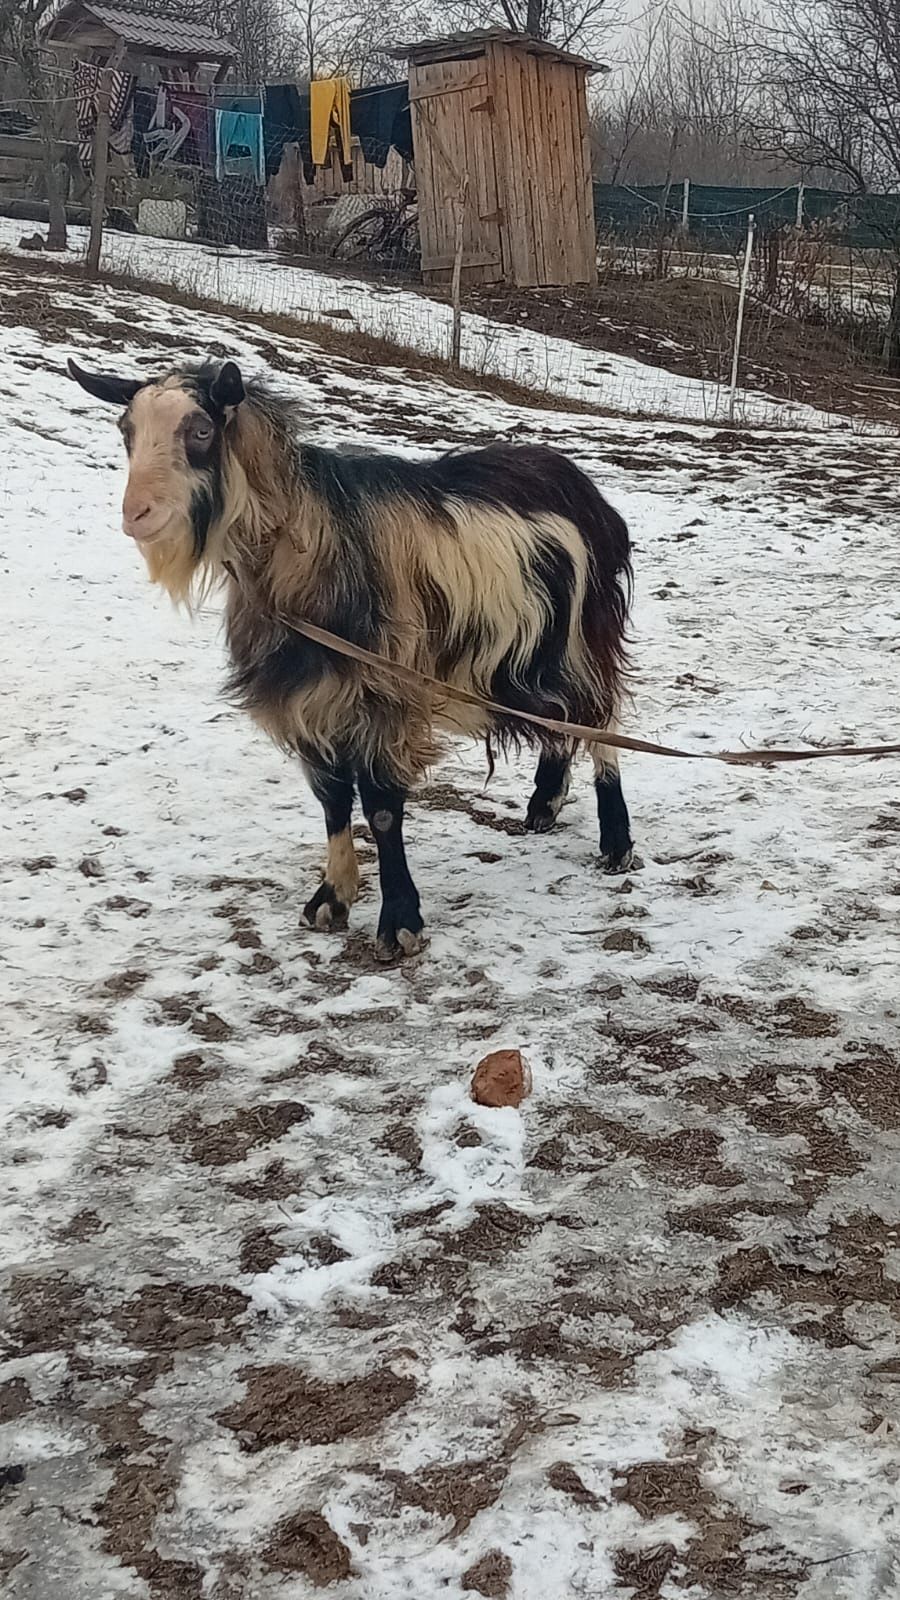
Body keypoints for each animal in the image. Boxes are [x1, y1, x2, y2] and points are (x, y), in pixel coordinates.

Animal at [68, 360, 630, 960]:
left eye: (200, 431)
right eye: (125, 430)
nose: (137, 515)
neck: (313, 546)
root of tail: (591, 497)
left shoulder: (383, 696)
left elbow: (381, 810)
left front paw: (399, 921)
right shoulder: (310, 700)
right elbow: (332, 801)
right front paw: (331, 898)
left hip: (584, 637)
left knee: (601, 718)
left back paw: (616, 840)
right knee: (561, 718)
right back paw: (544, 804)